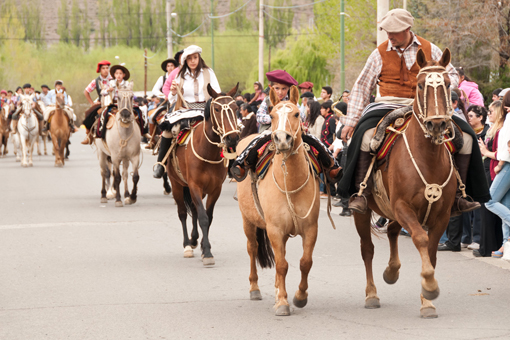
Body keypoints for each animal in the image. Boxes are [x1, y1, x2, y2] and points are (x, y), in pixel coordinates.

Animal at [165, 82, 241, 266]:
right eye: (217, 109)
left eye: (236, 108)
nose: (233, 138)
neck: (208, 152)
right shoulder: (194, 186)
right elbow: (203, 218)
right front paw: (206, 252)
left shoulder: (215, 189)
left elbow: (208, 216)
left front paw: (203, 246)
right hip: (177, 185)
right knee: (182, 213)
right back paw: (187, 245)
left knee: (193, 210)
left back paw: (193, 240)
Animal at [236, 85, 320, 316]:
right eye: (272, 115)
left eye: (297, 114)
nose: (282, 139)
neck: (290, 184)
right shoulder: (274, 228)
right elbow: (282, 265)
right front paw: (282, 302)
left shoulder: (310, 228)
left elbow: (305, 262)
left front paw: (300, 297)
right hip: (248, 222)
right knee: (252, 248)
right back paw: (255, 288)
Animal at [352, 48, 456, 318]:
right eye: (420, 85)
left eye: (448, 84)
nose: (437, 124)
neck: (428, 158)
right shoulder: (403, 206)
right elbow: (420, 239)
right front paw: (429, 286)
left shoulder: (442, 215)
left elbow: (431, 251)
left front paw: (427, 300)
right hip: (364, 211)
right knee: (367, 249)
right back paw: (372, 294)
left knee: (391, 231)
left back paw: (392, 271)